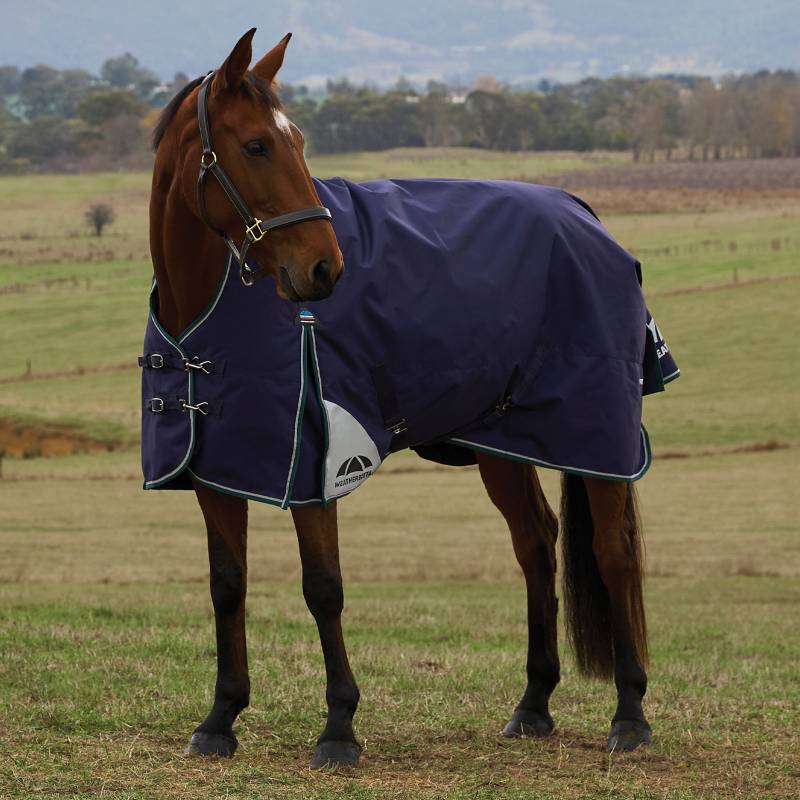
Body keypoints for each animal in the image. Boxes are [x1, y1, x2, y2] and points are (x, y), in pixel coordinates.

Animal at [147, 28, 659, 769]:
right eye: (257, 145)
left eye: (298, 140)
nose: (324, 267)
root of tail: (584, 214)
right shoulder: (218, 469)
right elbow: (227, 585)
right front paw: (220, 718)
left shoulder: (316, 467)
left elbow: (323, 588)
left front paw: (339, 728)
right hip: (504, 442)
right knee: (536, 544)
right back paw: (533, 704)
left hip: (596, 435)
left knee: (613, 553)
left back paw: (630, 715)